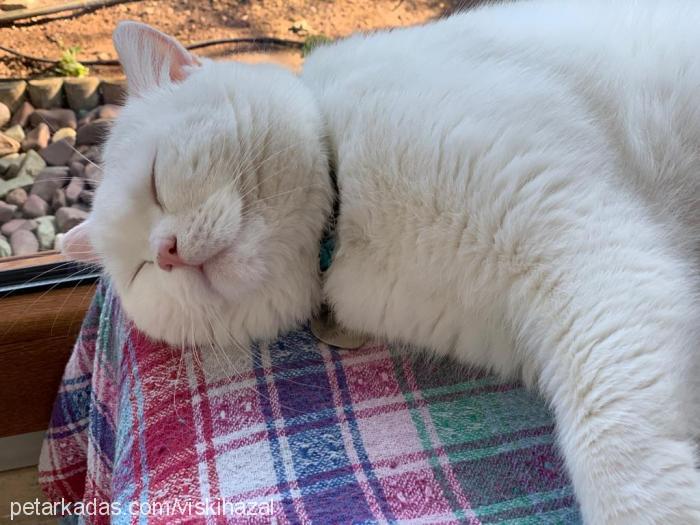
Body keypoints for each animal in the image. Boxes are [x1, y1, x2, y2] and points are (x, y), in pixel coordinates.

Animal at [63, 2, 700, 520]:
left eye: (155, 181)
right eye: (140, 273)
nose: (164, 253)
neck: (345, 217)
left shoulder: (581, 237)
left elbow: (615, 438)